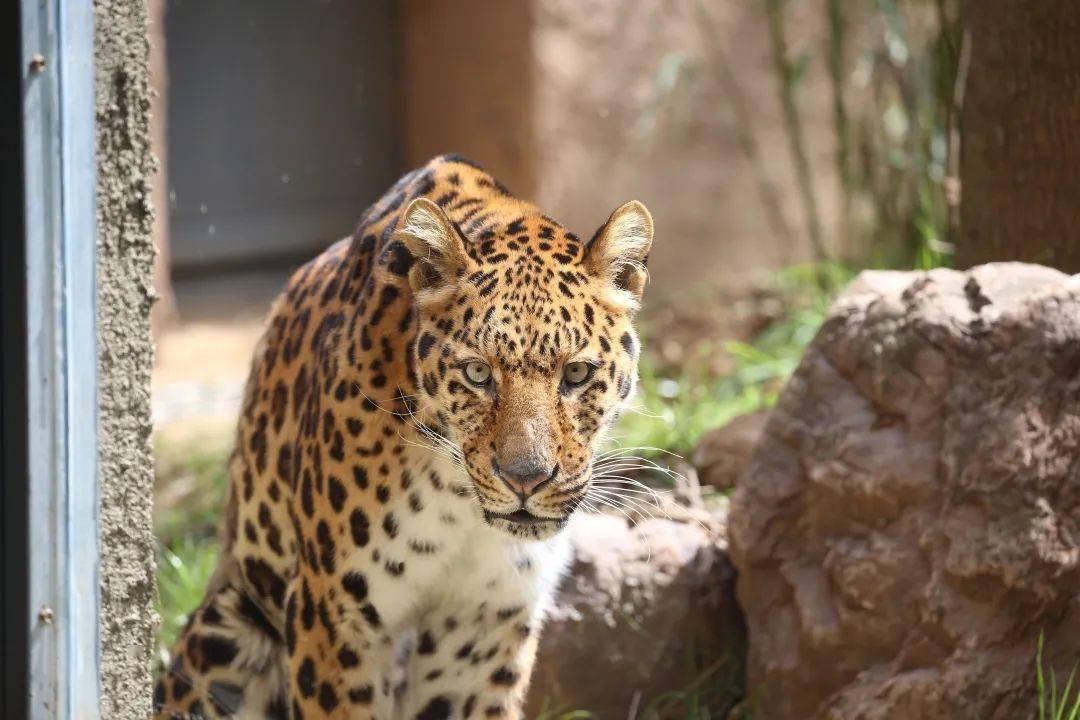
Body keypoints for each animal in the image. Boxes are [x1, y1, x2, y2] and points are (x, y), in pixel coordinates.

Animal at [155, 155, 652, 716]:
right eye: (478, 373)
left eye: (577, 374)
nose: (526, 479)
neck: (458, 497)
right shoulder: (332, 614)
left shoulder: (482, 627)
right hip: (226, 628)